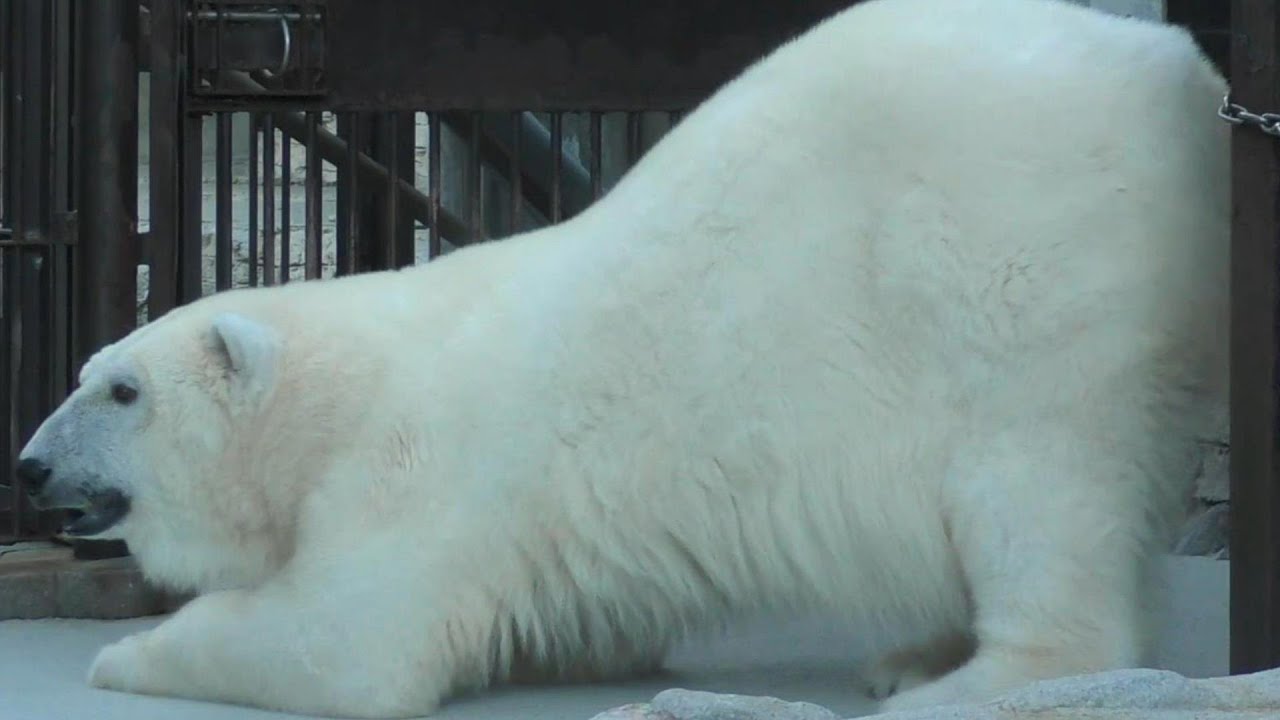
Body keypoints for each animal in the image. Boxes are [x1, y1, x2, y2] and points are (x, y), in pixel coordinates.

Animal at [15, 0, 1228, 716]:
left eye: (119, 387)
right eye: (79, 372)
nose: (29, 465)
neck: (333, 397)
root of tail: (1188, 78)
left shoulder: (416, 472)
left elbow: (347, 641)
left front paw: (125, 658)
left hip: (1030, 289)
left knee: (1037, 492)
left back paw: (966, 682)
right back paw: (917, 654)